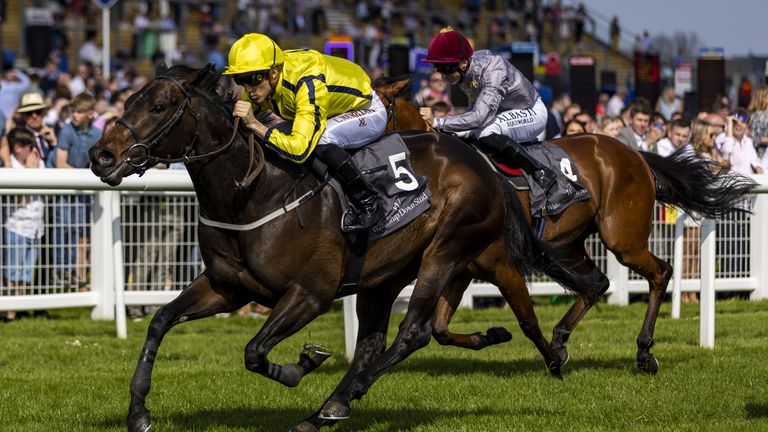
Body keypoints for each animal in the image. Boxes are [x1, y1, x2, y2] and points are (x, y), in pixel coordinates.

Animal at [90, 65, 568, 432]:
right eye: (127, 101)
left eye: (158, 107)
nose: (101, 156)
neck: (253, 192)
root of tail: (483, 162)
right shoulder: (227, 286)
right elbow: (160, 321)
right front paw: (138, 412)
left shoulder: (310, 294)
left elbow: (254, 352)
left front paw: (303, 363)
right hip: (383, 276)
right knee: (373, 343)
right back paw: (328, 408)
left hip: (446, 251)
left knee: (412, 333)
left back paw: (335, 404)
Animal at [376, 77, 752, 374]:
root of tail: (635, 155)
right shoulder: (462, 268)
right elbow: (439, 329)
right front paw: (495, 335)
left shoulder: (500, 265)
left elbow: (526, 321)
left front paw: (549, 359)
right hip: (570, 242)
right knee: (597, 284)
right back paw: (562, 338)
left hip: (623, 240)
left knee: (658, 273)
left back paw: (644, 352)